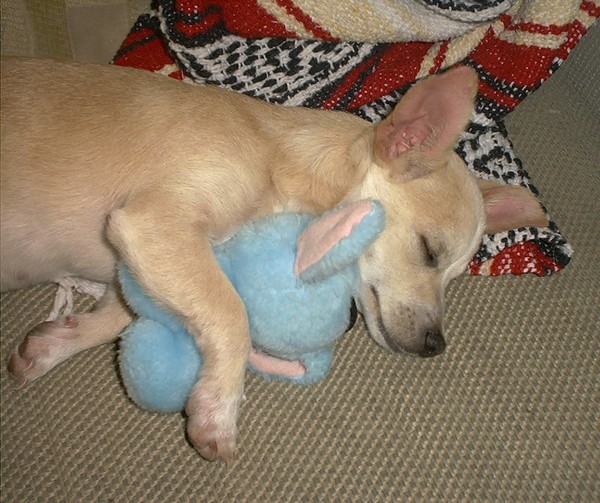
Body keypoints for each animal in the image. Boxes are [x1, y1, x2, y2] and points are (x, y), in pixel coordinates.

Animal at [0, 57, 548, 462]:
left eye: (454, 277)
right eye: (428, 251)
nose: (437, 345)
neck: (280, 164)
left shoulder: (135, 255)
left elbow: (119, 313)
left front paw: (55, 344)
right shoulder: (153, 223)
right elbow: (230, 311)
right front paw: (218, 409)